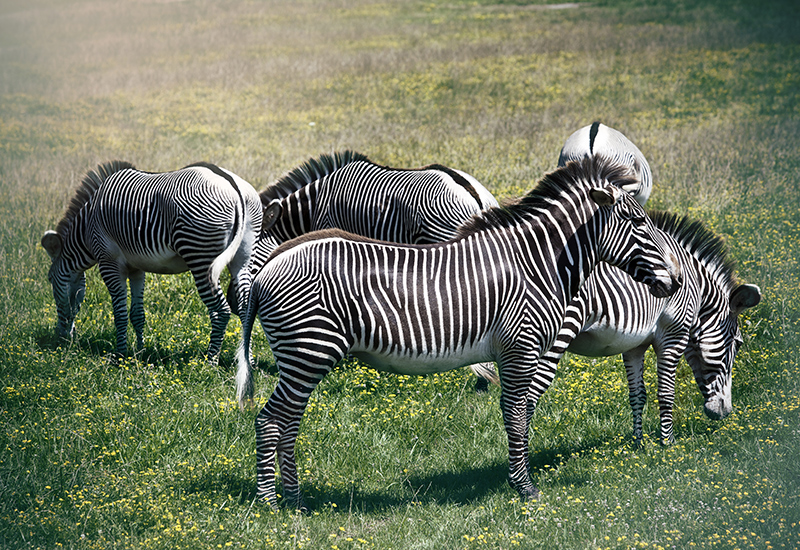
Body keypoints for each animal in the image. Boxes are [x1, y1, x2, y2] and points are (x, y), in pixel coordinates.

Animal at [41, 162, 262, 360]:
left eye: (50, 279)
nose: (62, 339)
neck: (86, 230)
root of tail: (234, 188)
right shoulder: (136, 268)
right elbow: (137, 314)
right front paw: (140, 351)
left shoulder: (109, 262)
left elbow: (120, 313)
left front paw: (120, 355)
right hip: (243, 258)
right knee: (244, 309)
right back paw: (246, 361)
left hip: (200, 256)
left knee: (221, 311)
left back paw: (210, 360)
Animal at [234, 155, 680, 508]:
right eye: (638, 222)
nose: (675, 281)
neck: (539, 263)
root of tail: (271, 264)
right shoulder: (519, 348)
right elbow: (517, 414)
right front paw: (525, 489)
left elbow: (523, 413)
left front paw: (519, 480)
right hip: (308, 350)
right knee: (271, 420)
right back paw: (271, 502)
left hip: (306, 355)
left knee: (288, 421)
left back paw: (295, 498)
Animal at [524, 209, 764, 446]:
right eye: (738, 344)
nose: (725, 412)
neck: (696, 289)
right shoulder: (673, 335)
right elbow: (666, 392)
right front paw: (667, 442)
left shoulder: (633, 344)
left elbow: (637, 394)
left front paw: (638, 442)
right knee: (527, 398)